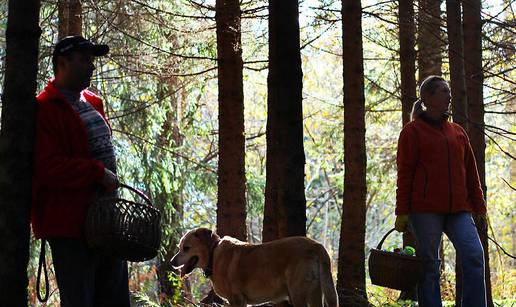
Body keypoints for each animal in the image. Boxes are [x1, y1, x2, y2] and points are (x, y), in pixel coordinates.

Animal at [170, 227, 338, 306]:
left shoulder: (236, 300)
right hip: (315, 293)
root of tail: (316, 245)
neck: (213, 253)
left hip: (298, 294)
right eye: (179, 247)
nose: (171, 262)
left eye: (186, 248)